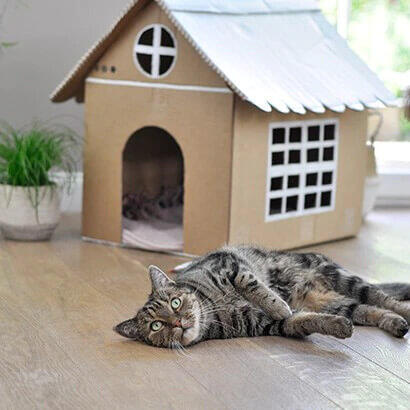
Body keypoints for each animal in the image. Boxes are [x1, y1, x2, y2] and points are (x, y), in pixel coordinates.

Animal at [113, 245, 410, 348]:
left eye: (175, 303)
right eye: (156, 326)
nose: (177, 323)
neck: (213, 308)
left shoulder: (229, 265)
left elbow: (255, 287)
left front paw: (279, 304)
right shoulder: (261, 323)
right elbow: (303, 321)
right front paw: (335, 327)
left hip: (343, 278)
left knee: (382, 298)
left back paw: (404, 312)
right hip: (336, 302)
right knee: (367, 309)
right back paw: (395, 323)